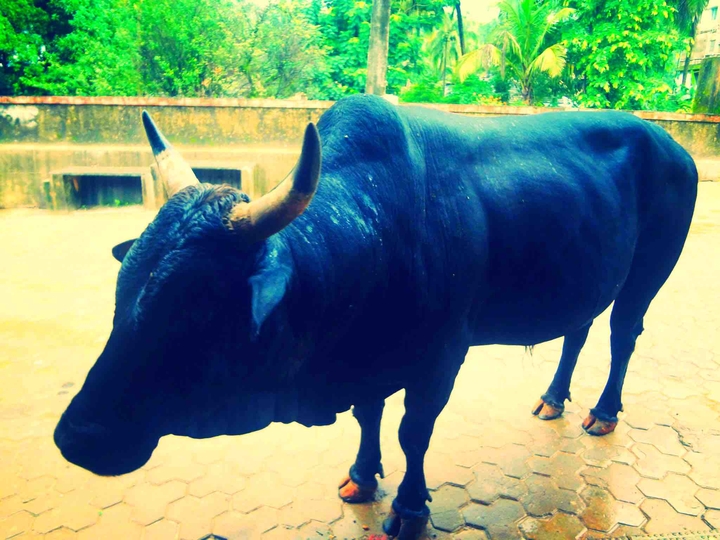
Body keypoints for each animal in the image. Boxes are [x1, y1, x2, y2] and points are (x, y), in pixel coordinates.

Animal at [54, 94, 697, 539]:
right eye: (123, 294)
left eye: (196, 308)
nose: (76, 437)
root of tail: (673, 146)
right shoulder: (369, 359)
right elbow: (368, 415)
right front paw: (362, 477)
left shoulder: (440, 356)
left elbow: (414, 432)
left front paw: (410, 509)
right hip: (588, 277)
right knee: (577, 331)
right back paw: (553, 398)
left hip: (648, 273)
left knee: (622, 336)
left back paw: (602, 413)